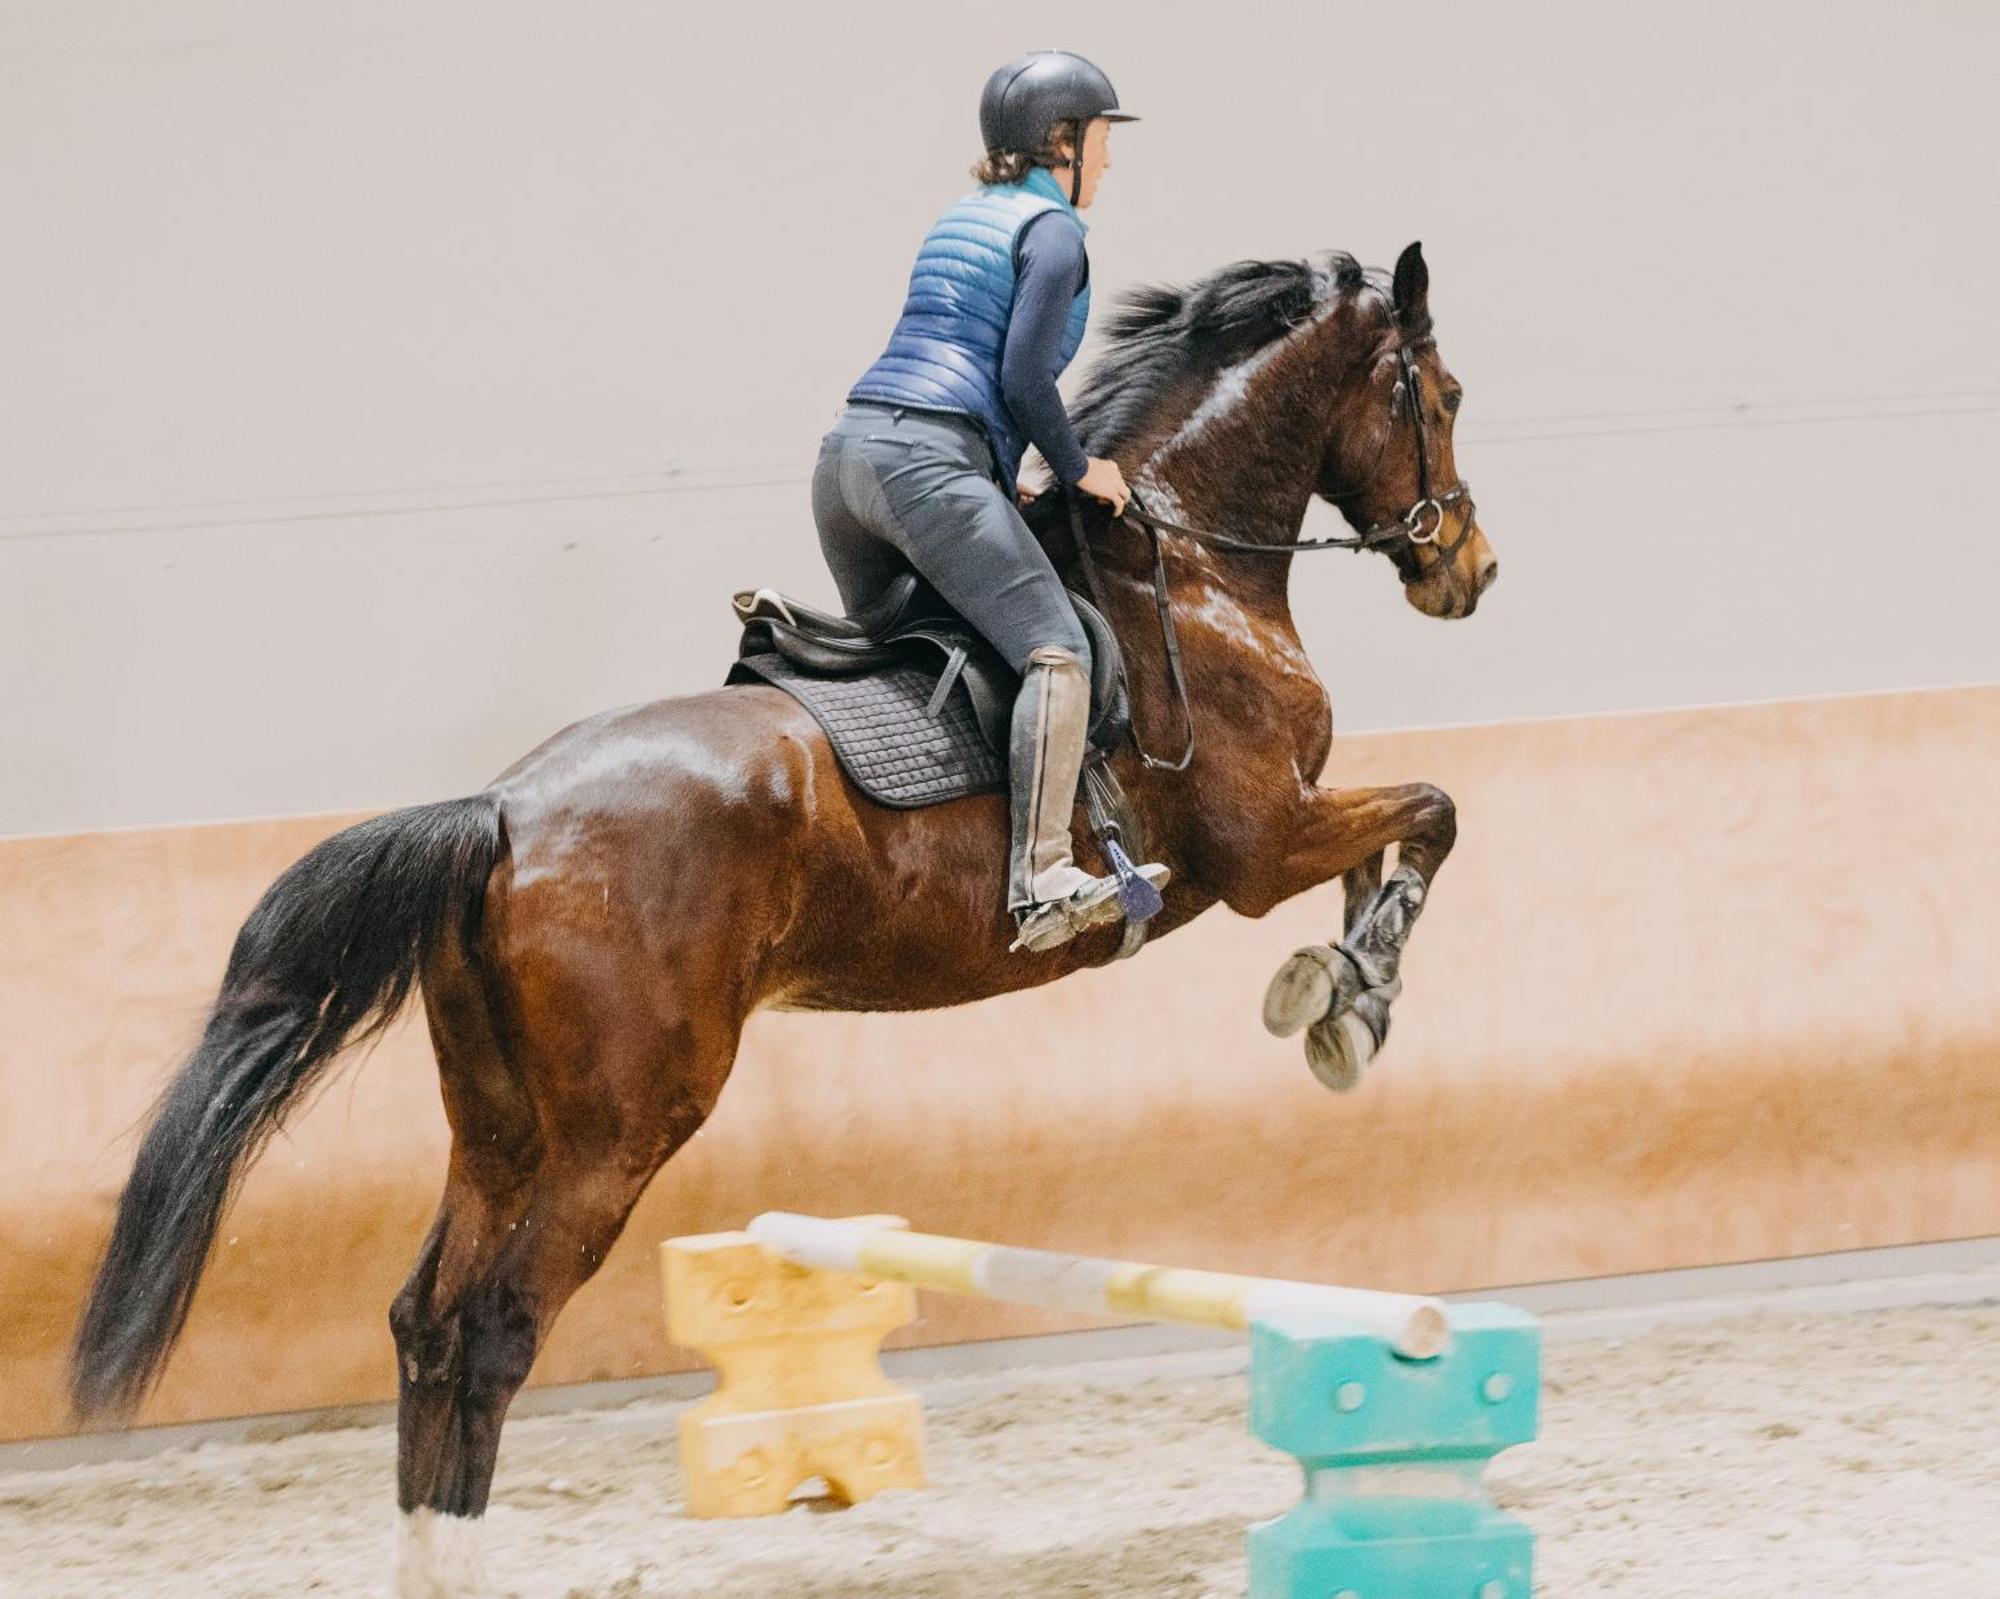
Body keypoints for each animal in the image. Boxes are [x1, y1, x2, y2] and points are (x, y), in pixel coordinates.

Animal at [70, 233, 1496, 1583]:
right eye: (1442, 396)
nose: (1467, 570)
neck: (1187, 567)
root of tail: (504, 813)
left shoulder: (1286, 831)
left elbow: (1393, 850)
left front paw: (1343, 1002)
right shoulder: (1259, 842)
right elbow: (1428, 813)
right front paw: (1345, 995)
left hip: (498, 1122)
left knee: (425, 1318)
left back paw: (430, 1559)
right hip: (616, 1133)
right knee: (490, 1330)